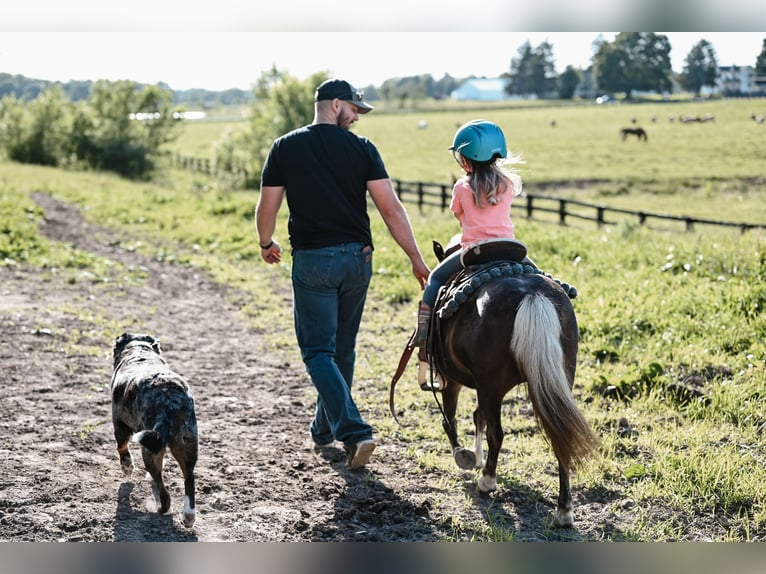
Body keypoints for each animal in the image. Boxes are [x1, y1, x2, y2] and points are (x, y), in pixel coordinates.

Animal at [112, 336, 201, 528]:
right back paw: (188, 516)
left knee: (163, 490)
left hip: (148, 449)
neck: (139, 351)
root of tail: (168, 399)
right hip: (187, 443)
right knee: (189, 478)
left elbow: (121, 447)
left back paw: (162, 508)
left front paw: (127, 467)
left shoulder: (119, 422)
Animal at [392, 241, 604, 528]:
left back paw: (487, 481)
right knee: (561, 437)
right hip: (557, 381)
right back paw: (564, 511)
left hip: (490, 385)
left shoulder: (453, 380)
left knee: (497, 433)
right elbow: (478, 417)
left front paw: (465, 456)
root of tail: (531, 295)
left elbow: (451, 418)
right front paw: (476, 456)